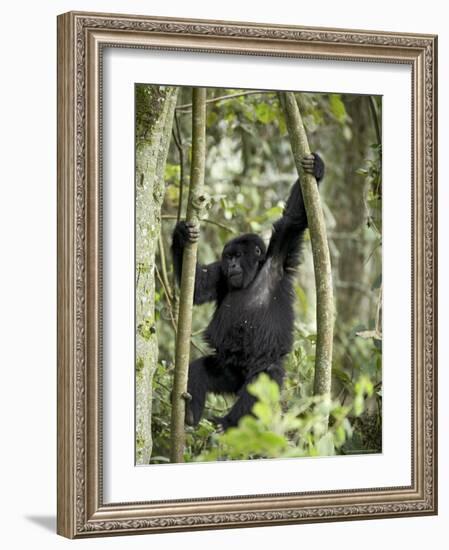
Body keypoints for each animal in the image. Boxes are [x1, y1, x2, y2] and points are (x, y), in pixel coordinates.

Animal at [173, 153, 324, 434]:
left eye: (238, 256)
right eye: (228, 257)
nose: (232, 265)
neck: (253, 275)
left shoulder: (280, 254)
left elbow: (294, 219)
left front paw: (316, 169)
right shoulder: (221, 275)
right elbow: (199, 286)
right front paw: (181, 235)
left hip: (261, 370)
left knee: (258, 386)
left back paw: (229, 423)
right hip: (227, 372)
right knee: (201, 369)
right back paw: (189, 414)